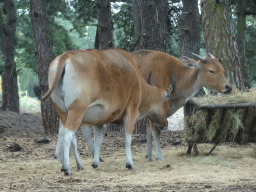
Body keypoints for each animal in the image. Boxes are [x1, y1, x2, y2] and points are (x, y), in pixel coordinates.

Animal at [33, 48, 174, 176]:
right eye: (168, 104)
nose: (166, 124)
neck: (138, 81)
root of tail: (66, 56)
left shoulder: (99, 120)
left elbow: (98, 140)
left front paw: (95, 163)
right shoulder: (131, 111)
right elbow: (127, 139)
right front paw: (130, 164)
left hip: (63, 111)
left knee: (70, 136)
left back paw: (78, 165)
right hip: (76, 111)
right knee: (68, 135)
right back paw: (66, 169)